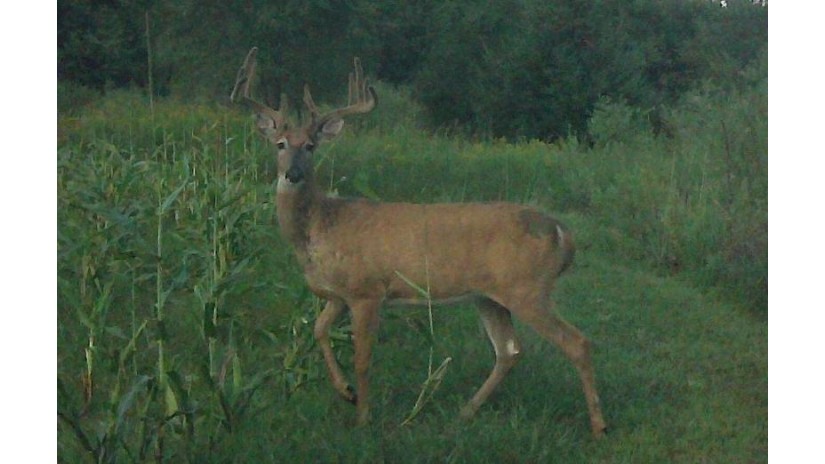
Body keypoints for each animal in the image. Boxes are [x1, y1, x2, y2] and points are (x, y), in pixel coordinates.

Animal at [232, 48, 604, 438]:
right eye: (280, 144)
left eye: (310, 146)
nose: (292, 174)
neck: (322, 225)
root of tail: (562, 231)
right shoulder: (339, 294)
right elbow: (319, 331)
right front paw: (346, 392)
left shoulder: (367, 291)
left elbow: (363, 357)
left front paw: (363, 417)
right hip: (489, 296)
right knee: (509, 350)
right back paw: (465, 412)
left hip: (528, 290)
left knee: (577, 342)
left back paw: (598, 426)